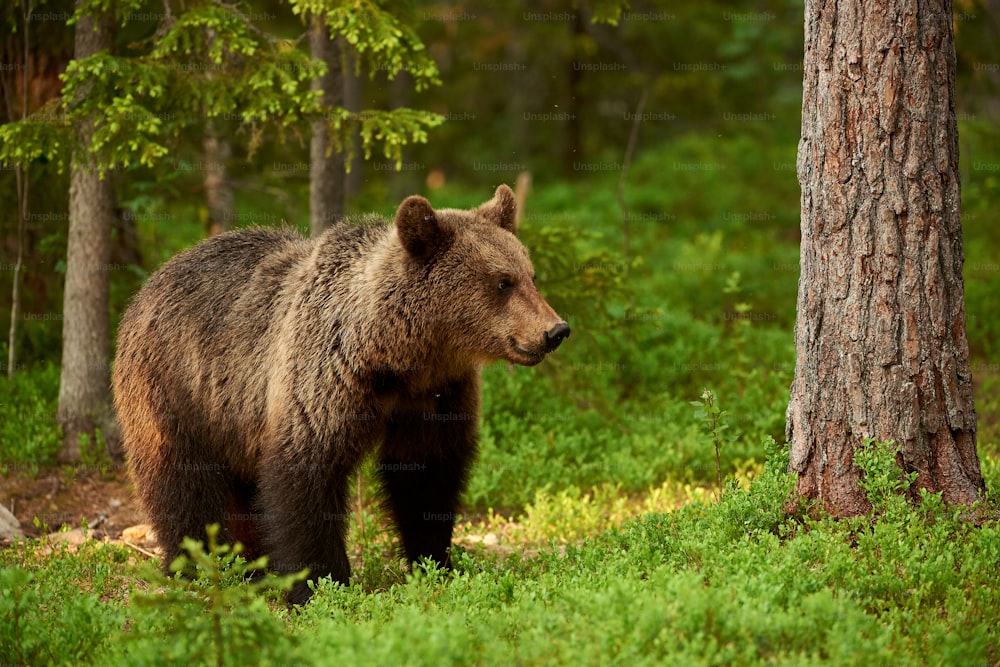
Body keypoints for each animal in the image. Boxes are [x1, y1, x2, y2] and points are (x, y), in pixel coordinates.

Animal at [113, 185, 568, 604]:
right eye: (502, 282)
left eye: (530, 275)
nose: (555, 330)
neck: (396, 357)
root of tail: (151, 281)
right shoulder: (324, 382)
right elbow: (306, 479)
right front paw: (319, 583)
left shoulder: (434, 396)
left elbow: (426, 476)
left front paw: (434, 560)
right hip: (175, 389)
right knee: (181, 483)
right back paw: (199, 565)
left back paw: (250, 565)